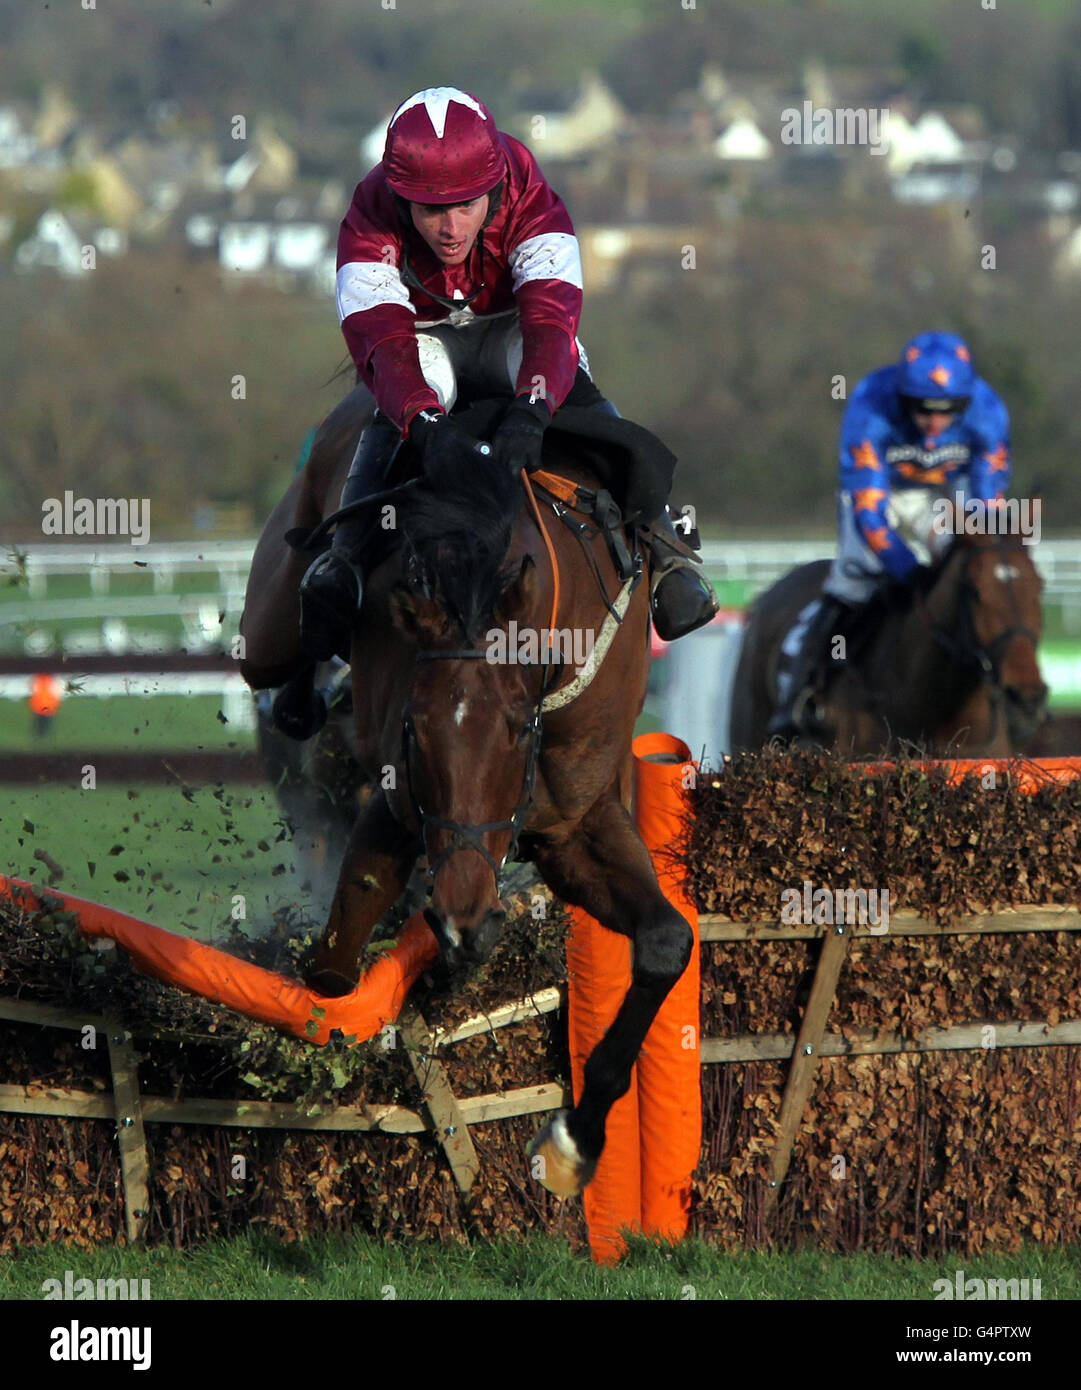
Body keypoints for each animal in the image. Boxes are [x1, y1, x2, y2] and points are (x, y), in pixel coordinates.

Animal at [237, 389, 691, 1195]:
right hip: (266, 627)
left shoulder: (575, 822)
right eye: (416, 731)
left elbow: (666, 942)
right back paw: (301, 672)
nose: (463, 917)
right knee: (278, 651)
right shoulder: (394, 805)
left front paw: (573, 1142)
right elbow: (333, 970)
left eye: (517, 728)